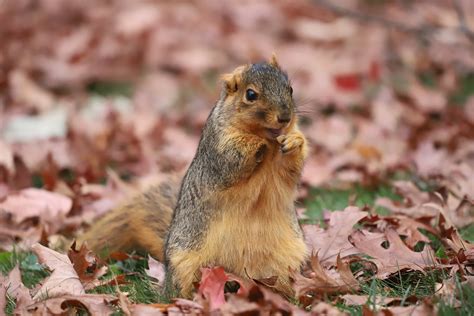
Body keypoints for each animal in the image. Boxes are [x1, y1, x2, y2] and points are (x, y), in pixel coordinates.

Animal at [79, 55, 310, 298]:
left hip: (285, 261)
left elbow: (291, 169)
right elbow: (233, 159)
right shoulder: (217, 149)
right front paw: (257, 143)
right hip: (185, 262)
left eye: (290, 89)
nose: (285, 118)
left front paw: (295, 141)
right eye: (251, 94)